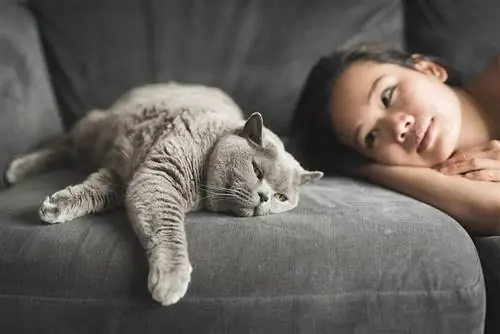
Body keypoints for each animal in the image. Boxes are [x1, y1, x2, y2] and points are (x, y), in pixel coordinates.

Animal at [2, 82, 324, 306]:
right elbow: (169, 230)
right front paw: (172, 279)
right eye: (257, 171)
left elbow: (94, 191)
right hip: (92, 127)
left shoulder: (126, 178)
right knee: (63, 147)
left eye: (282, 198)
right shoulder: (158, 178)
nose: (266, 198)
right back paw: (16, 169)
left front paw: (56, 207)